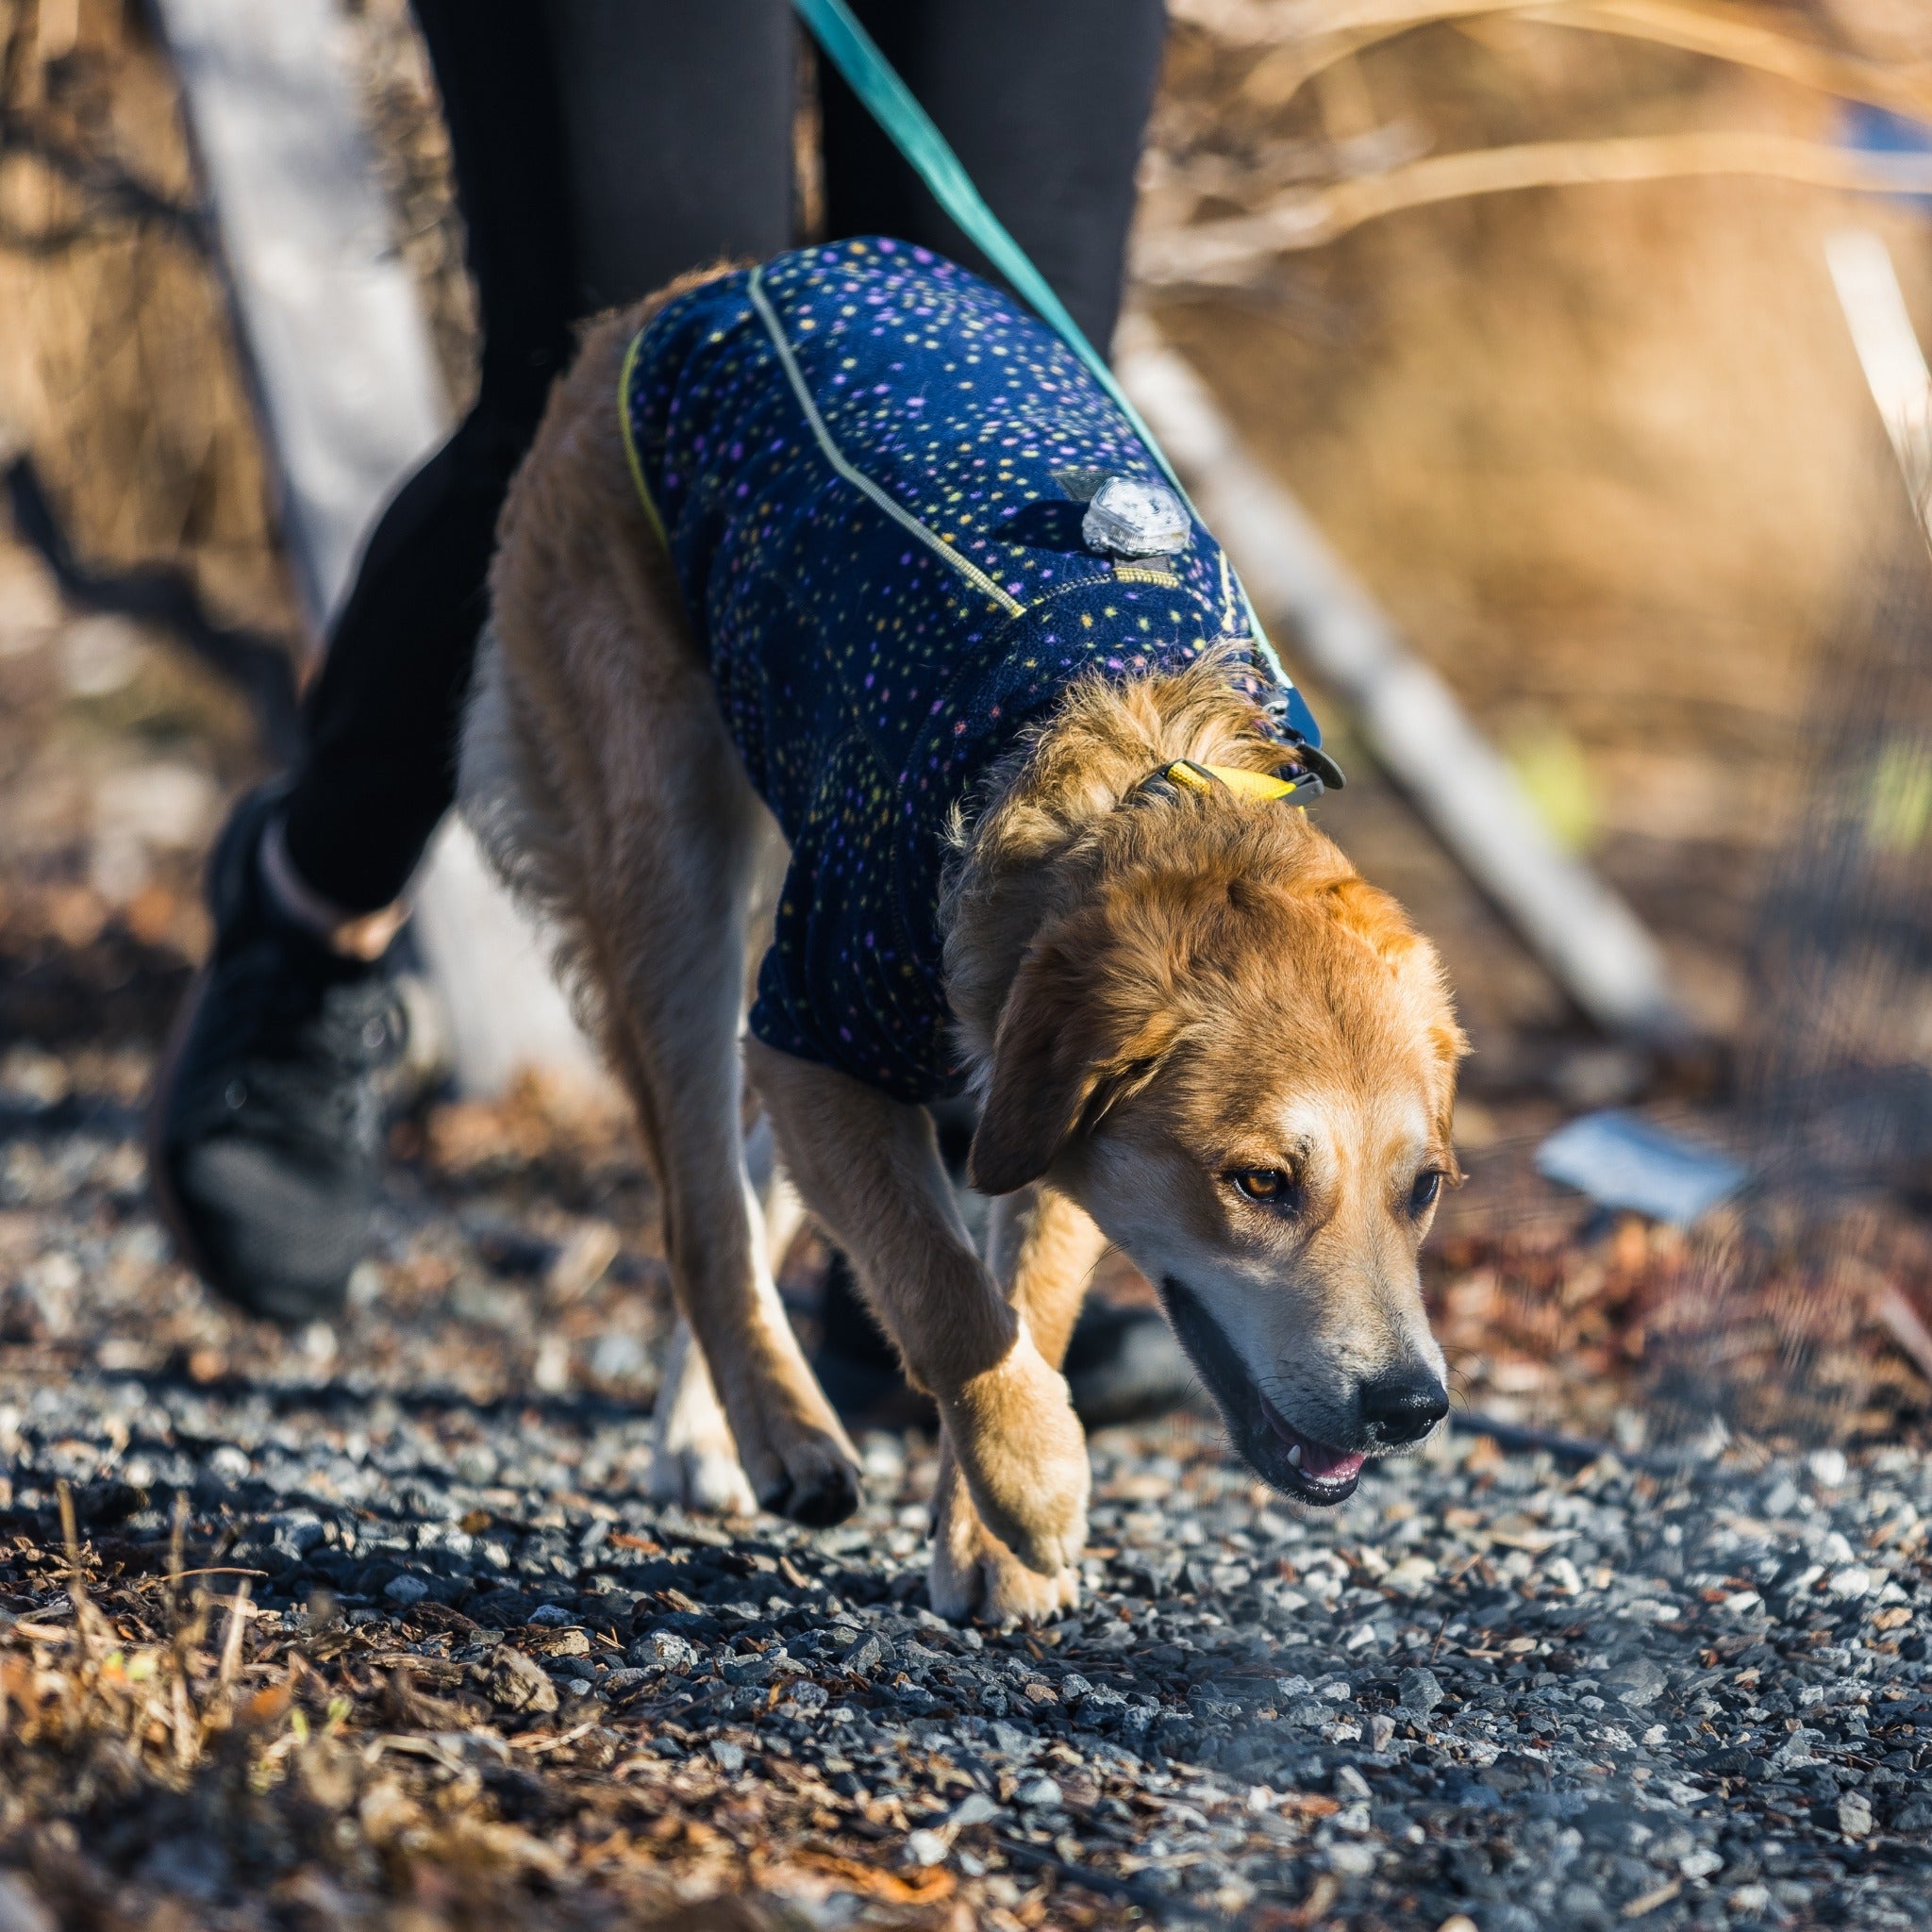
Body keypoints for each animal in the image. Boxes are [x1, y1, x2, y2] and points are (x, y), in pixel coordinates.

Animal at [467, 264, 1460, 1623]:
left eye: (1424, 1189)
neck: (1135, 769)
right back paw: (780, 1428)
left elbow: (1020, 1292)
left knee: (745, 1181)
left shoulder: (1008, 1095)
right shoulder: (825, 1036)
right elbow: (941, 1292)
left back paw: (709, 1427)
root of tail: (701, 288)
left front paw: (986, 1530)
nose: (1412, 1407)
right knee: (700, 1207)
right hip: (673, 874)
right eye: (1259, 1181)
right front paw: (1034, 1477)